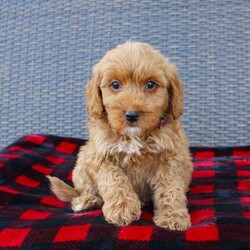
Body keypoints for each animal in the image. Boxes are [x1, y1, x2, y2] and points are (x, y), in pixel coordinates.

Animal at [48, 41, 193, 230]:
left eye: (150, 85)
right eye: (115, 85)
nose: (131, 115)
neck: (135, 137)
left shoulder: (170, 157)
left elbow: (170, 188)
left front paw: (172, 215)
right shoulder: (101, 155)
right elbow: (115, 182)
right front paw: (123, 209)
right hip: (81, 164)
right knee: (86, 189)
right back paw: (85, 201)